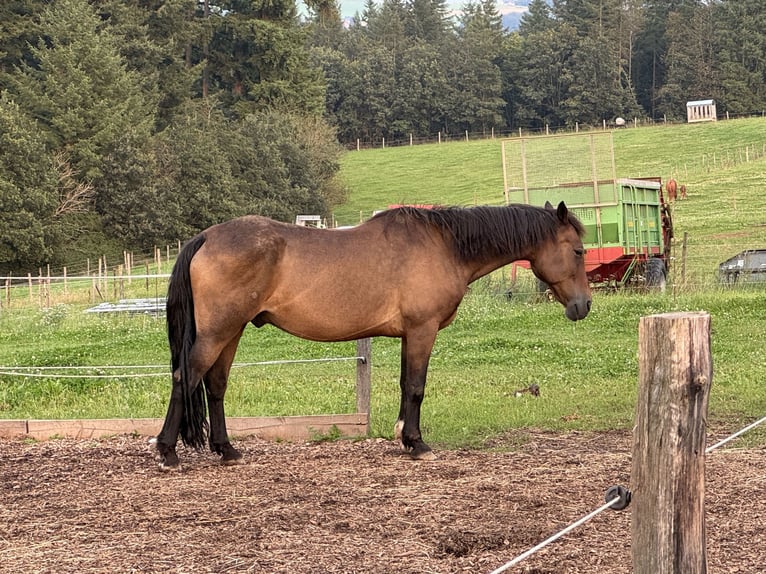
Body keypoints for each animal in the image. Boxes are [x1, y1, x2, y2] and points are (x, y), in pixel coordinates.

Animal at [153, 200, 592, 470]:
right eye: (578, 251)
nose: (583, 306)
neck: (445, 246)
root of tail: (207, 237)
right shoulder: (422, 331)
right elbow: (416, 386)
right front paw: (416, 443)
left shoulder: (408, 335)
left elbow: (404, 385)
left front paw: (405, 437)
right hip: (218, 331)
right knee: (185, 376)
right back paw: (167, 451)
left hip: (232, 331)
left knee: (215, 384)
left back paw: (227, 450)